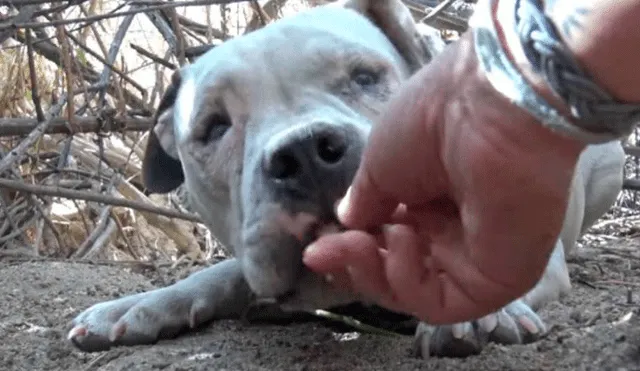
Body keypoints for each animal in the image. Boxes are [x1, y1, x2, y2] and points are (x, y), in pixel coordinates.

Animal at [66, 0, 624, 360]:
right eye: (214, 126)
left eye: (365, 77)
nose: (305, 153)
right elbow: (218, 275)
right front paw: (141, 306)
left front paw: (477, 312)